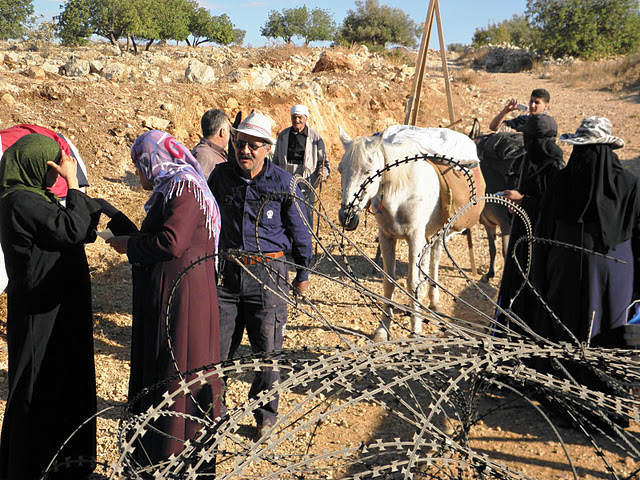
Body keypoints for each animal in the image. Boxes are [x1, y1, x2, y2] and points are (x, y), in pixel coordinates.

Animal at [338, 124, 482, 342]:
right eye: (340, 169)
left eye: (368, 171)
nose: (346, 216)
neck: (400, 192)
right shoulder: (387, 237)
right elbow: (389, 282)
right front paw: (383, 328)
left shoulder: (414, 237)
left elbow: (412, 281)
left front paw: (415, 330)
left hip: (438, 234)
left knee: (434, 262)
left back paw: (433, 301)